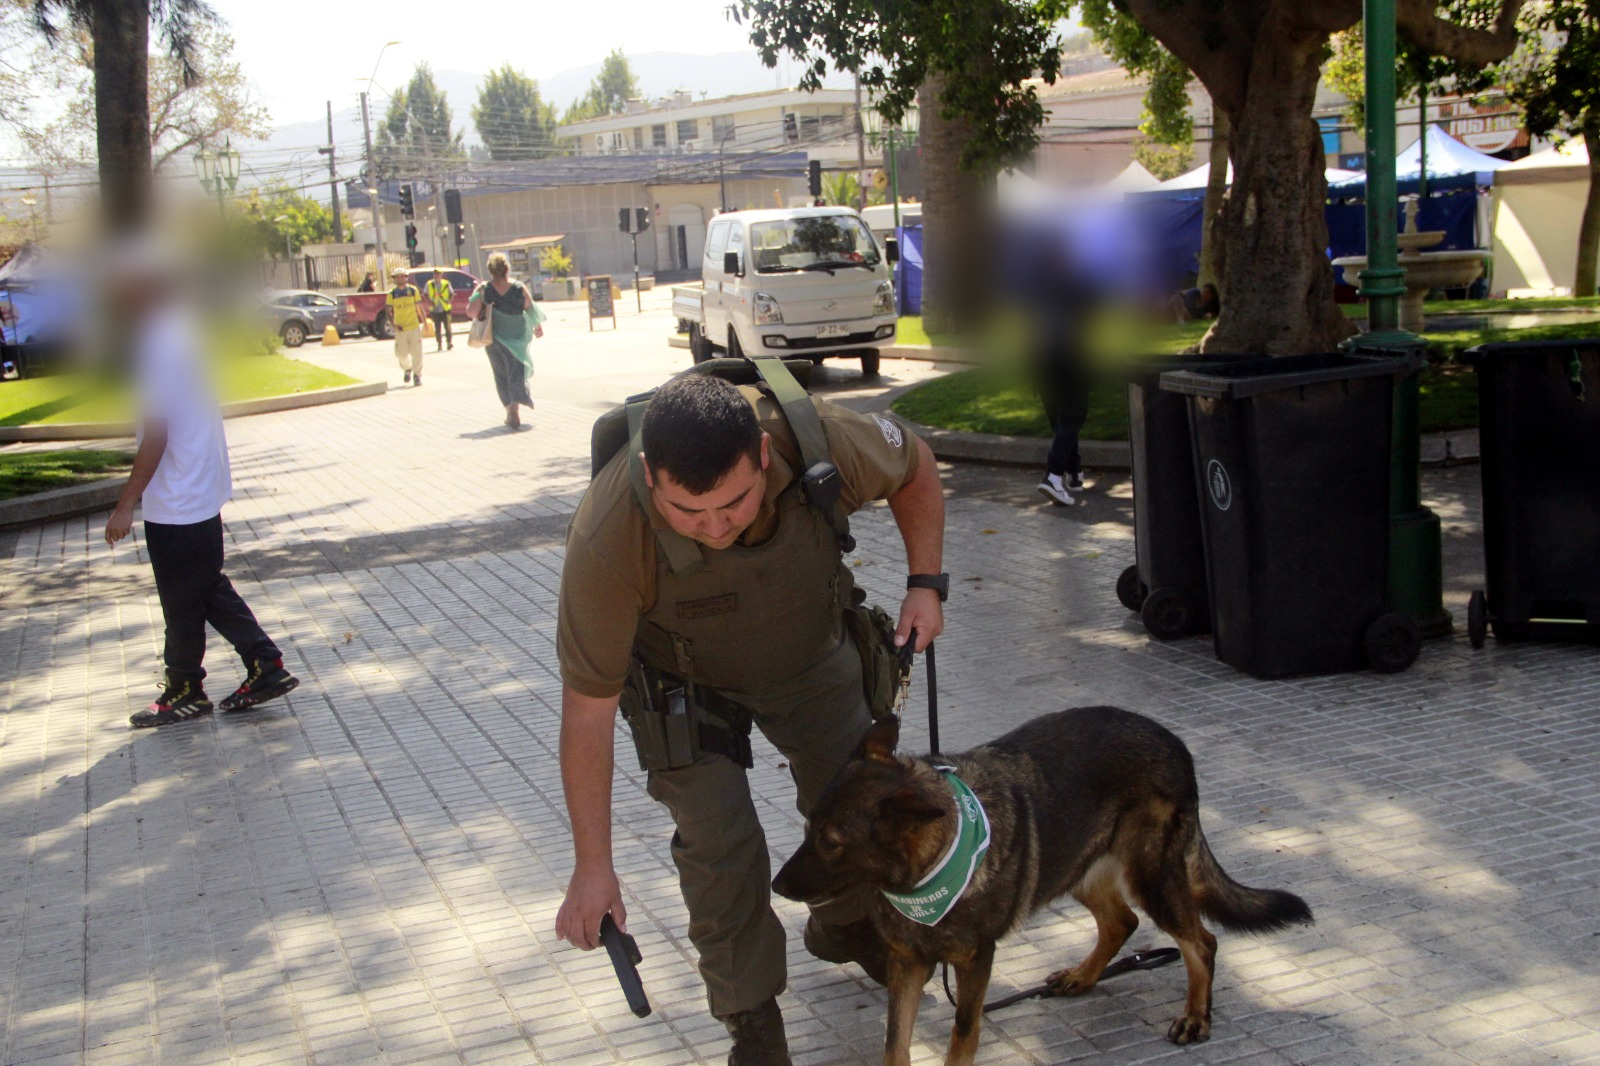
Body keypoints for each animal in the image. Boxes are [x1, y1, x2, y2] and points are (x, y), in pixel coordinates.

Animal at [771, 704, 1312, 1062]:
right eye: (808, 827)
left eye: (830, 841)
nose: (776, 887)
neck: (928, 872)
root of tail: (1173, 742)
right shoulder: (907, 964)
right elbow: (894, 1042)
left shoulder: (975, 962)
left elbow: (962, 1035)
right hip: (1074, 864)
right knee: (1122, 922)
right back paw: (1083, 976)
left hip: (1150, 877)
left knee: (1201, 941)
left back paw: (1197, 1016)